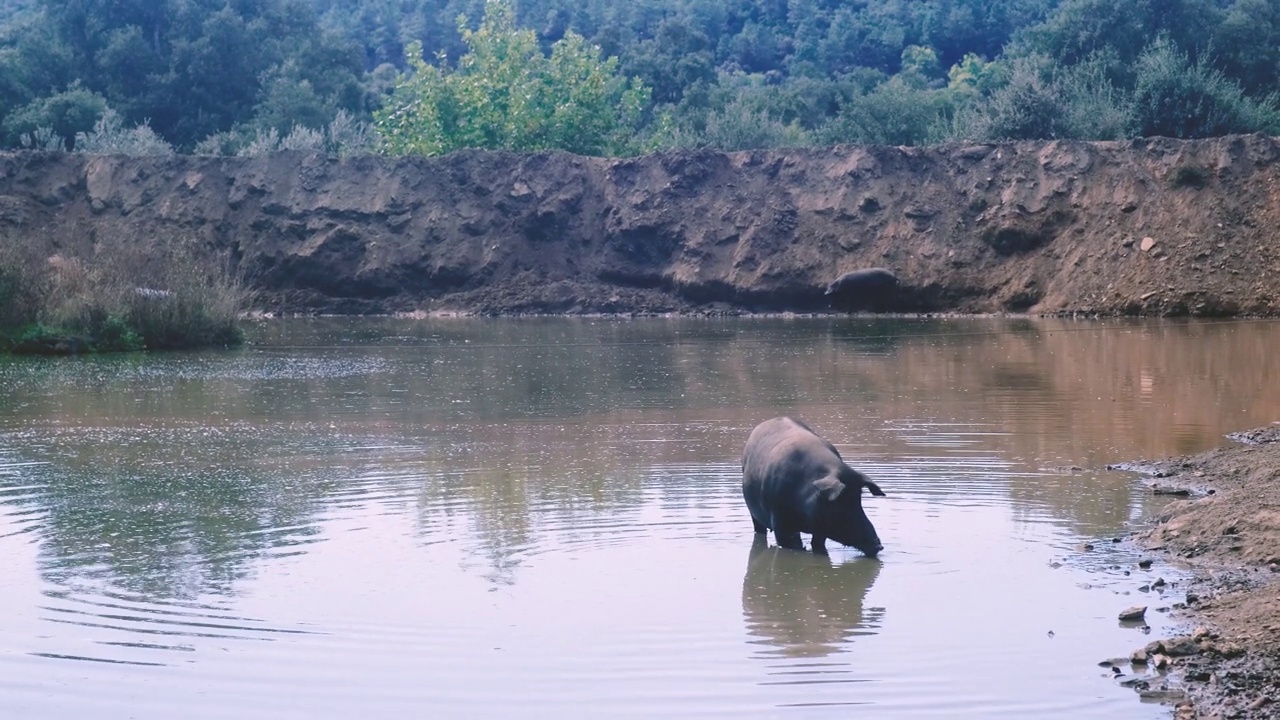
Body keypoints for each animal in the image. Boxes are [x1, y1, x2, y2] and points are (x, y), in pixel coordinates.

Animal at [747, 415, 885, 556]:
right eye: (842, 502)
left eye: (858, 499)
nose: (879, 545)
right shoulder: (780, 523)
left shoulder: (821, 528)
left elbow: (818, 544)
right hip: (753, 513)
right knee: (759, 529)